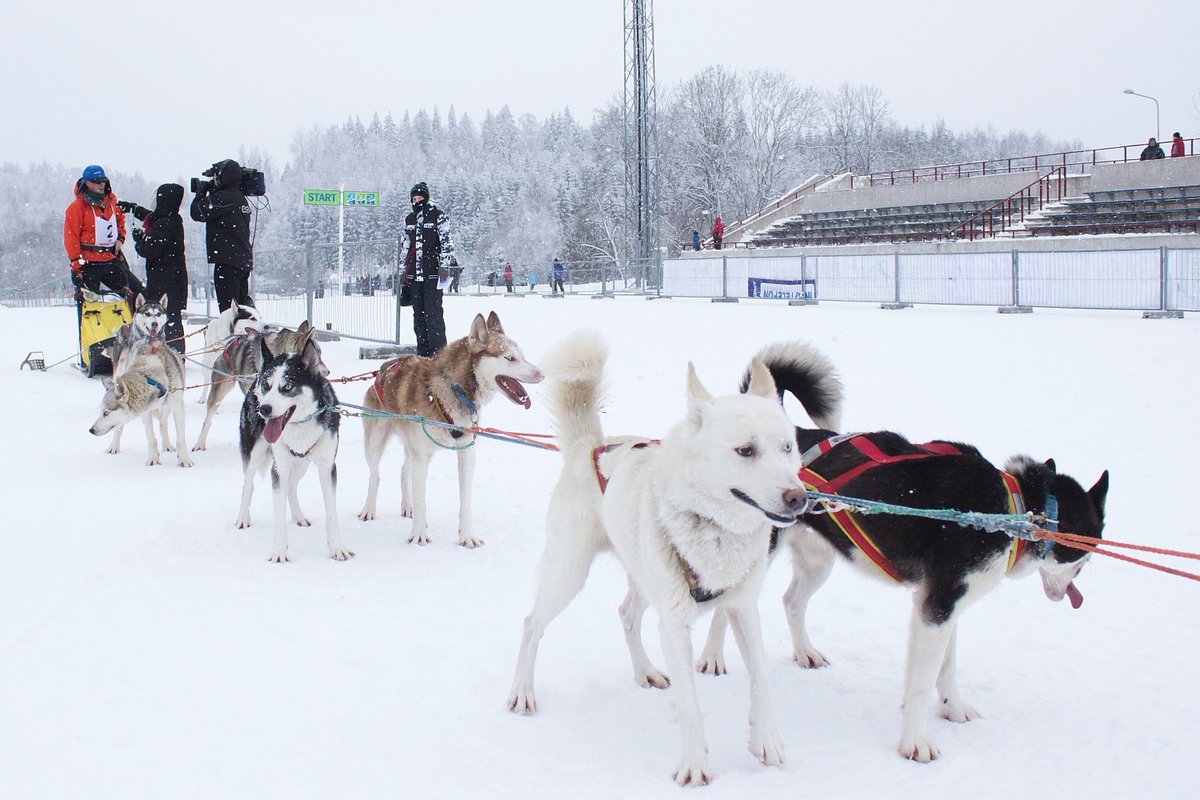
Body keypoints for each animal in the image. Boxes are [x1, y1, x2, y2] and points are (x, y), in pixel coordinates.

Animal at [506, 331, 806, 786]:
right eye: (745, 451)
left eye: (787, 447)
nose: (798, 497)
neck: (714, 530)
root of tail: (591, 447)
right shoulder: (675, 622)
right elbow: (691, 705)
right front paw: (696, 764)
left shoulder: (742, 609)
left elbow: (762, 683)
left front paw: (766, 742)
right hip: (569, 574)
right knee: (531, 624)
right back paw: (523, 690)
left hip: (645, 580)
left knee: (627, 614)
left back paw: (645, 669)